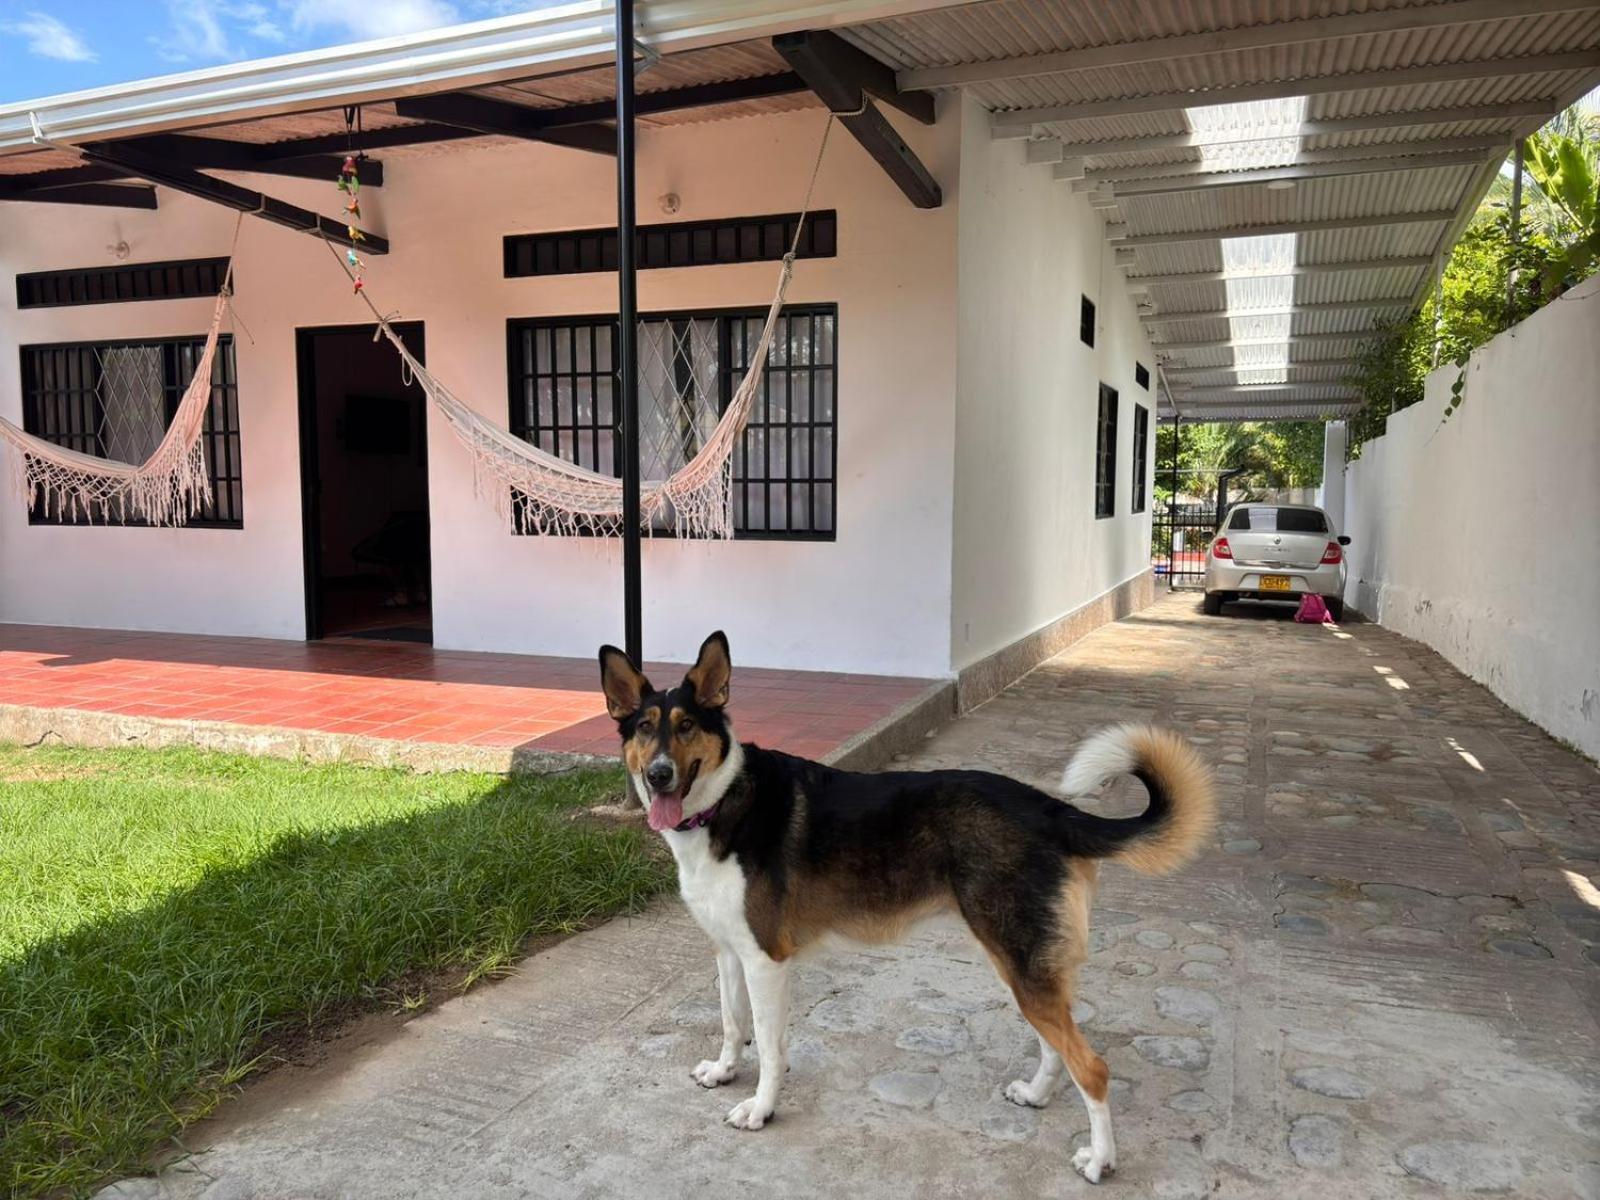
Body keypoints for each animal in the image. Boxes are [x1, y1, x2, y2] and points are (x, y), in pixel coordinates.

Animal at [598, 630, 1209, 1184]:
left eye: (687, 727)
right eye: (644, 728)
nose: (658, 775)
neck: (723, 801)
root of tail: (1050, 809)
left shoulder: (766, 961)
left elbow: (769, 1048)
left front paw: (761, 1108)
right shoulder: (729, 952)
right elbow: (731, 1022)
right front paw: (726, 1071)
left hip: (1019, 960)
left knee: (1093, 1067)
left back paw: (1100, 1160)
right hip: (1021, 963)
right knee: (1057, 1046)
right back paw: (1036, 1094)